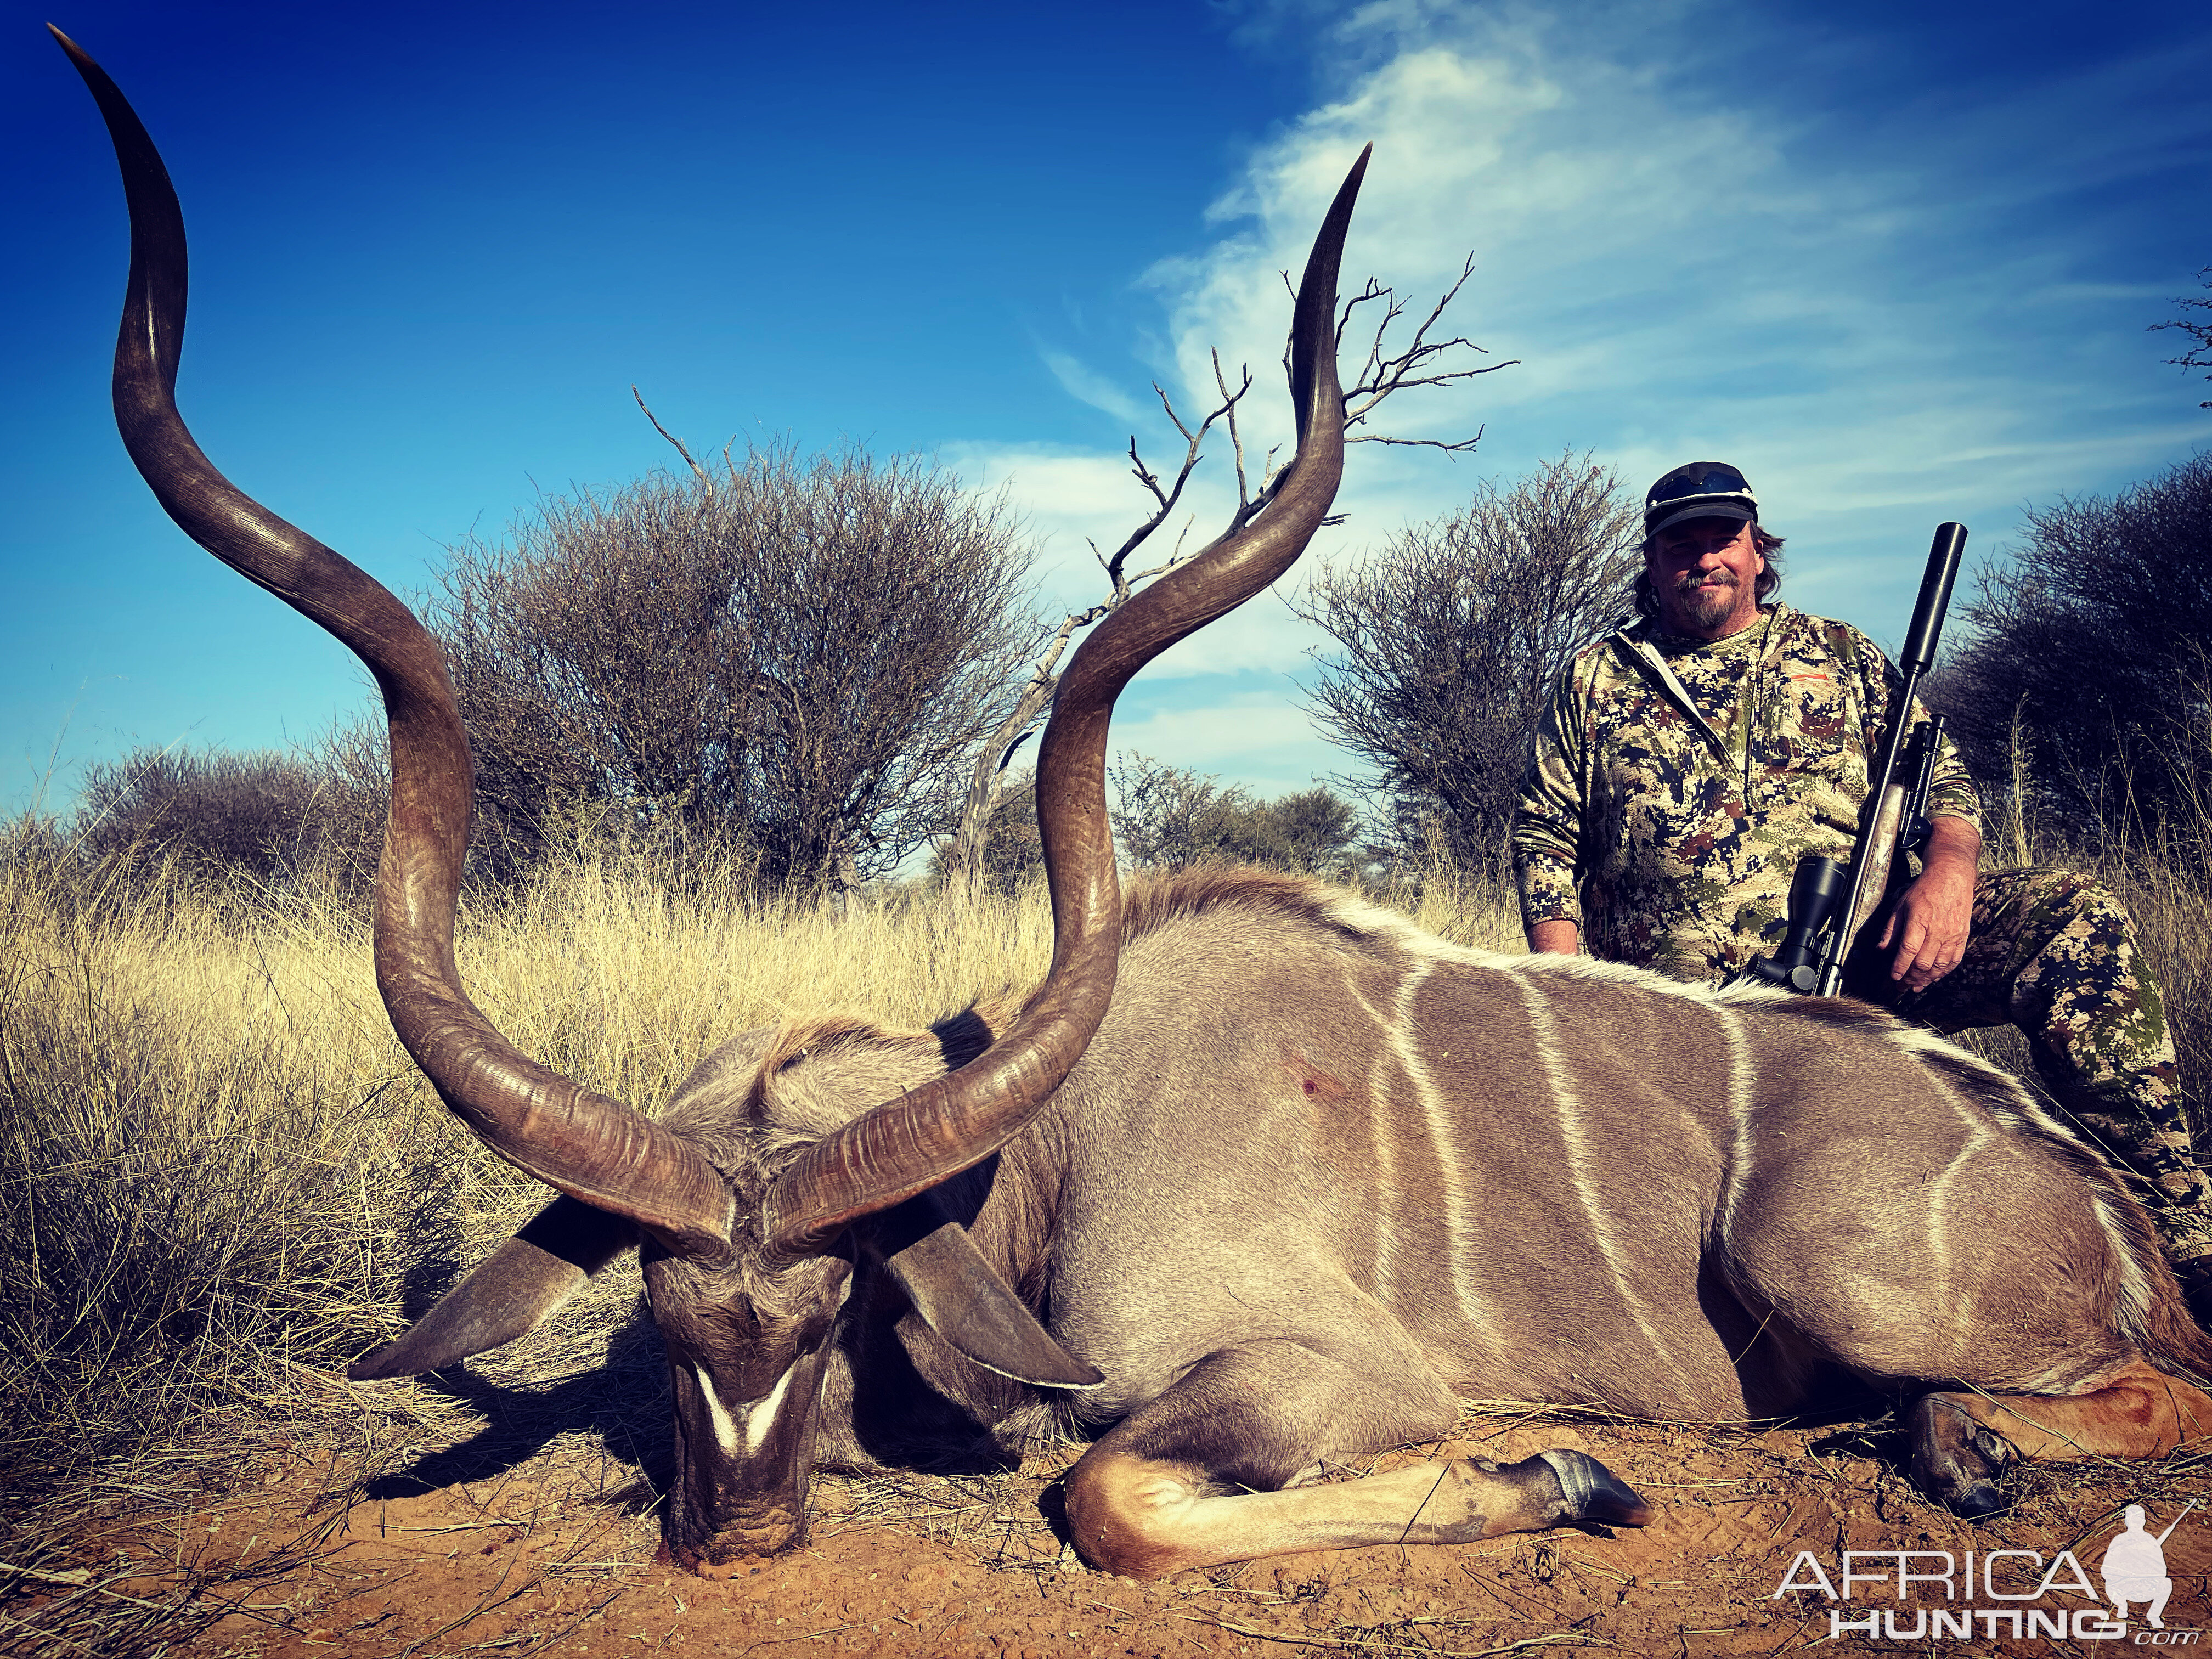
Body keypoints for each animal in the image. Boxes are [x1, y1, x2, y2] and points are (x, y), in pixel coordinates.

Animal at [60, 29, 2212, 1583]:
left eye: (834, 1307)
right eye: (667, 1319)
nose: (735, 1535)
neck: (1057, 1148)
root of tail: (2095, 1199)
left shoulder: (1324, 1370)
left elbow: (1105, 1491)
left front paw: (1561, 1479)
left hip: (1827, 1266)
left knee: (2155, 1391)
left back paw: (1964, 1441)